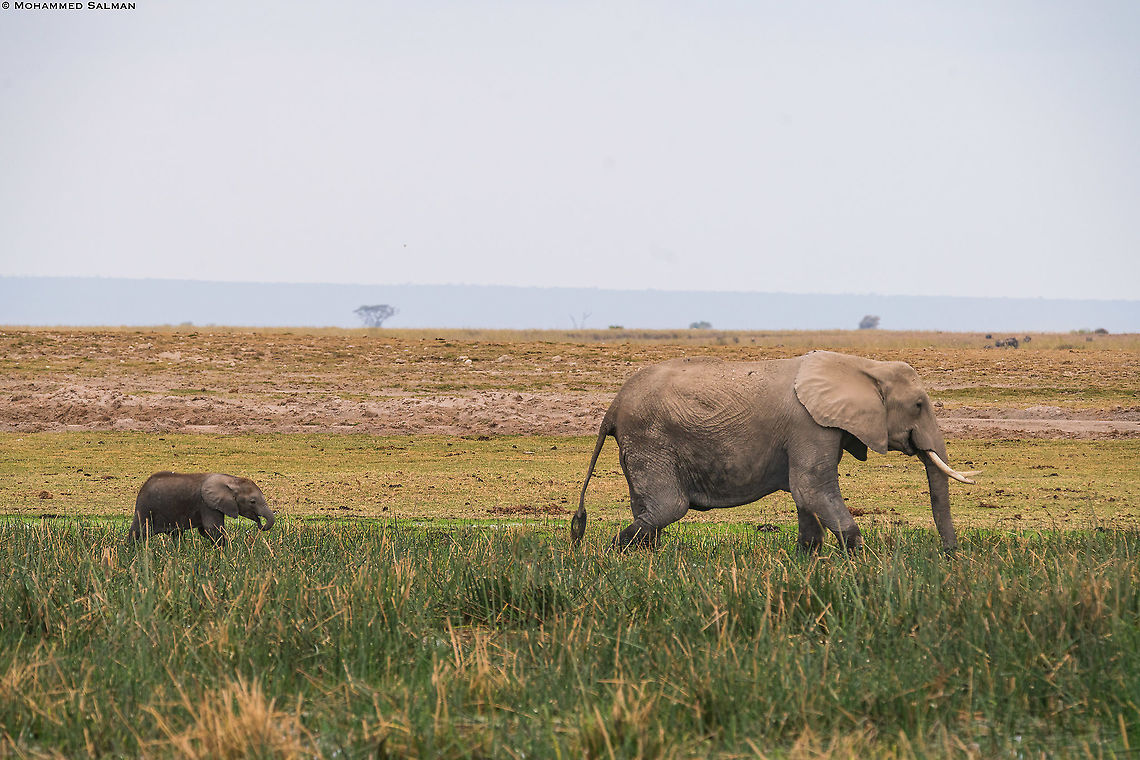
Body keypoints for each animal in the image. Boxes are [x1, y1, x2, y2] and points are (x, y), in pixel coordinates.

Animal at [128, 472, 275, 546]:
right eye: (252, 501)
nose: (260, 523)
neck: (233, 480)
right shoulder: (206, 504)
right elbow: (212, 528)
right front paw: (224, 551)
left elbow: (205, 531)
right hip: (145, 508)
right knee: (137, 531)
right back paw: (131, 549)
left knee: (176, 534)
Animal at [572, 351, 978, 552]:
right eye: (919, 405)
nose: (949, 556)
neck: (863, 366)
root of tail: (612, 407)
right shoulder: (811, 426)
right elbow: (813, 489)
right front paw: (860, 562)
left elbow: (805, 495)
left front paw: (808, 559)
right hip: (650, 439)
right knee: (668, 507)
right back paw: (618, 555)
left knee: (649, 510)